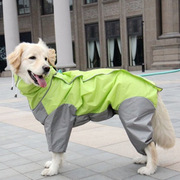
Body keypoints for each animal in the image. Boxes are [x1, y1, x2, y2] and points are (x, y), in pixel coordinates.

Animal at [7, 39, 175, 176]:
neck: (49, 85)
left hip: (132, 118)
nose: (46, 68)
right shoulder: (58, 125)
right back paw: (143, 159)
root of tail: (151, 84)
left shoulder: (56, 123)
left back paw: (150, 169)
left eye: (46, 59)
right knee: (147, 142)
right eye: (32, 58)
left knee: (150, 145)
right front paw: (57, 165)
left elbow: (55, 150)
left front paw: (53, 170)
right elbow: (59, 152)